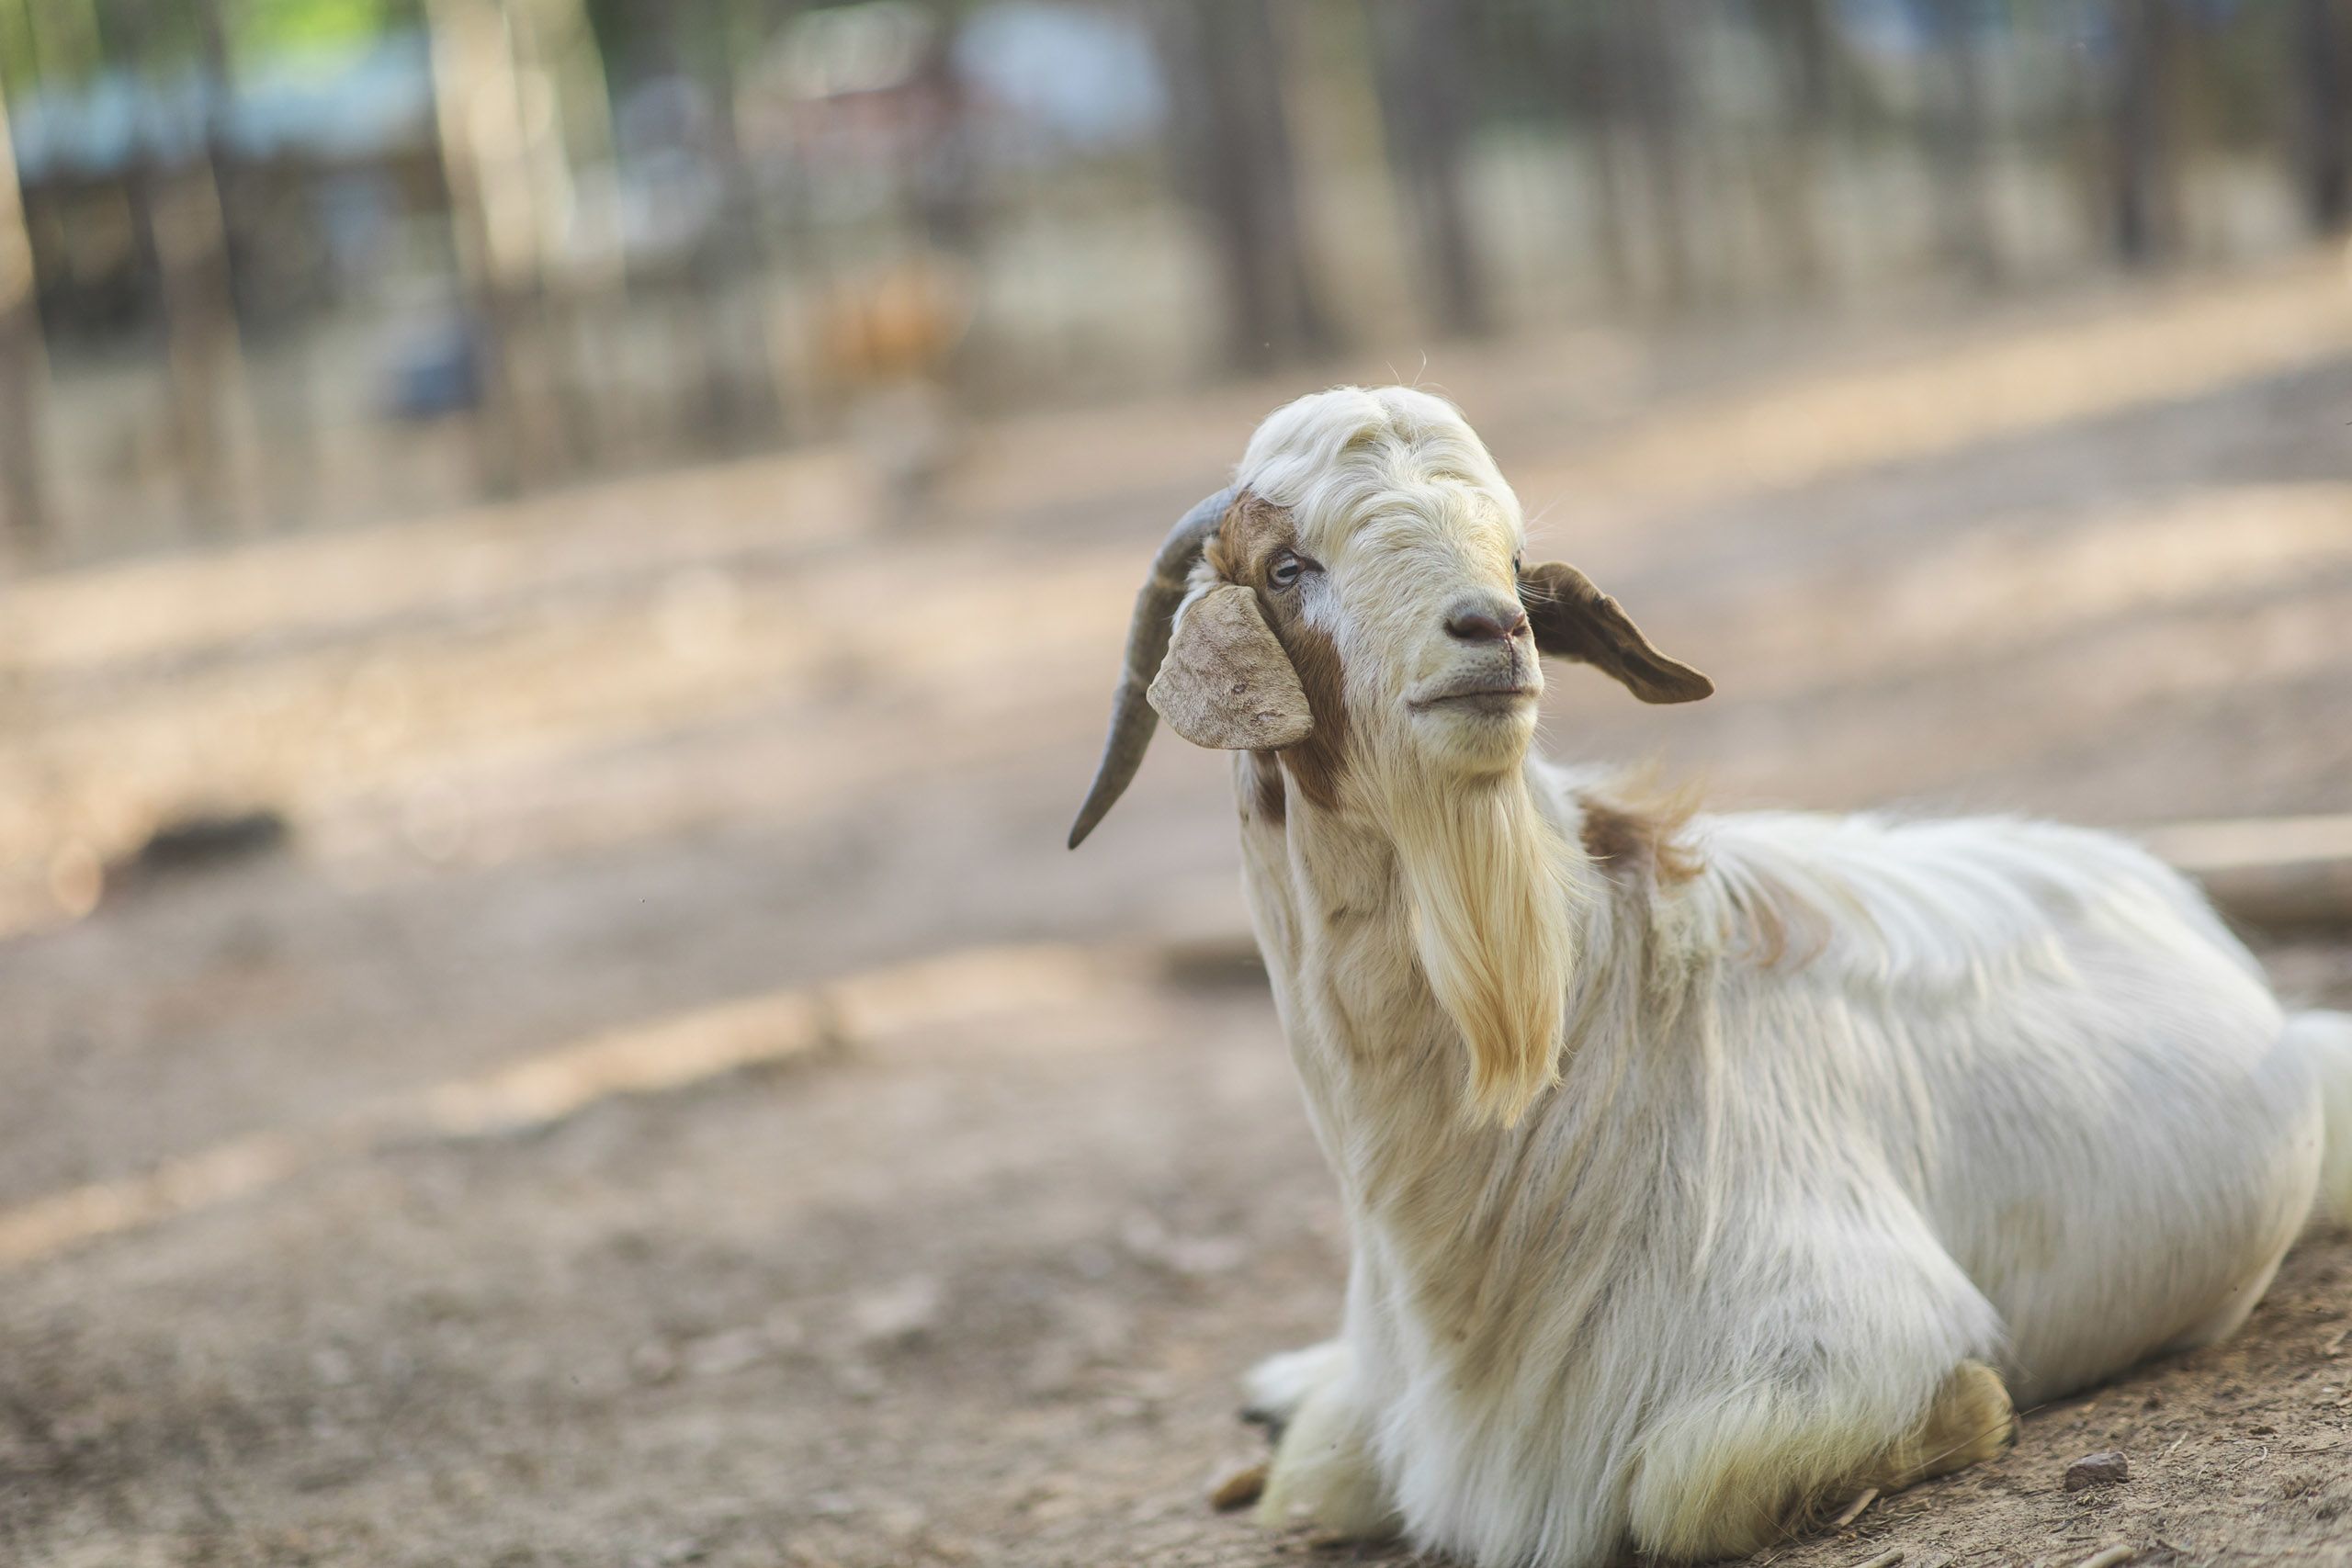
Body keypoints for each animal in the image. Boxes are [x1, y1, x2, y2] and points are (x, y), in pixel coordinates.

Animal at [1067, 385, 2352, 1566]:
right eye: (1289, 567)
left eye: (1515, 559)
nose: (1492, 631)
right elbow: (1317, 1483)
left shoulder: (1844, 1334)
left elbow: (1677, 1485)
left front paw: (1971, 1408)